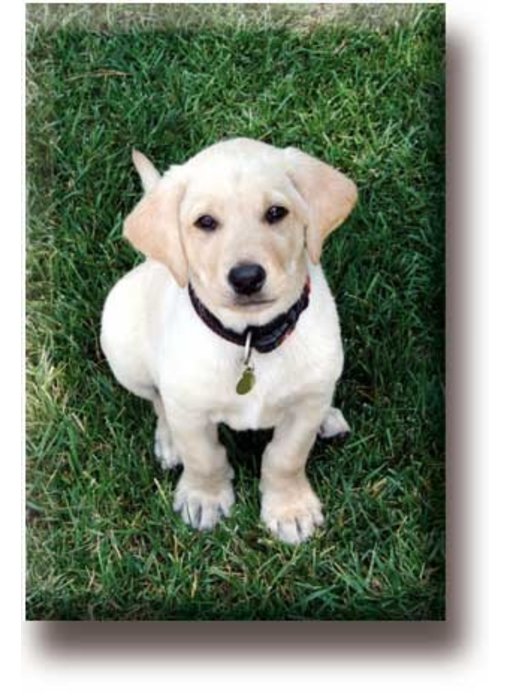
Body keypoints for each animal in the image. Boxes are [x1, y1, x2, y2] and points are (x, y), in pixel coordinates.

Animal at [98, 135, 354, 540]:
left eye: (276, 213)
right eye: (205, 222)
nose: (247, 277)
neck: (251, 338)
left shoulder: (304, 410)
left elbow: (286, 457)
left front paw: (290, 508)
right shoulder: (189, 410)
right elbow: (203, 457)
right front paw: (204, 497)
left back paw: (328, 418)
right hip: (122, 346)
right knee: (157, 400)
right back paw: (169, 442)